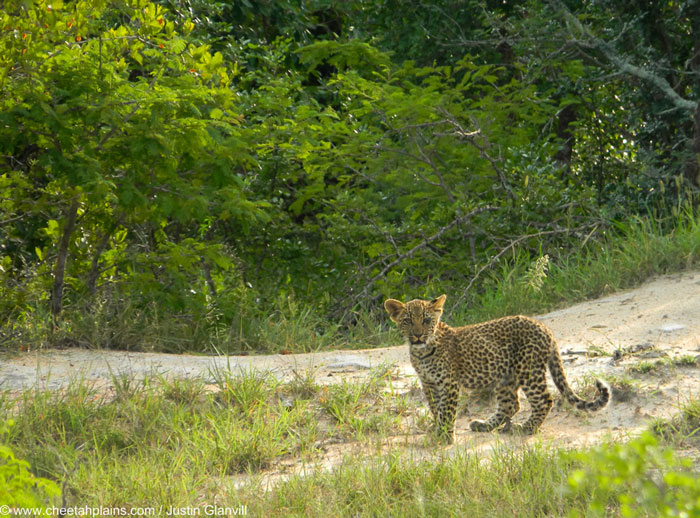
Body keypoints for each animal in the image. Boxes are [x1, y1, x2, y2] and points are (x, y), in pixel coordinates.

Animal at [386, 294, 608, 444]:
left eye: (426, 320)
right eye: (407, 321)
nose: (417, 335)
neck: (422, 353)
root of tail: (544, 328)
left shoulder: (448, 383)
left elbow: (447, 410)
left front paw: (446, 437)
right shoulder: (429, 383)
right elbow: (436, 409)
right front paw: (438, 430)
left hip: (529, 370)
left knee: (544, 401)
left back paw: (524, 428)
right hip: (505, 377)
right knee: (511, 405)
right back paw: (484, 425)